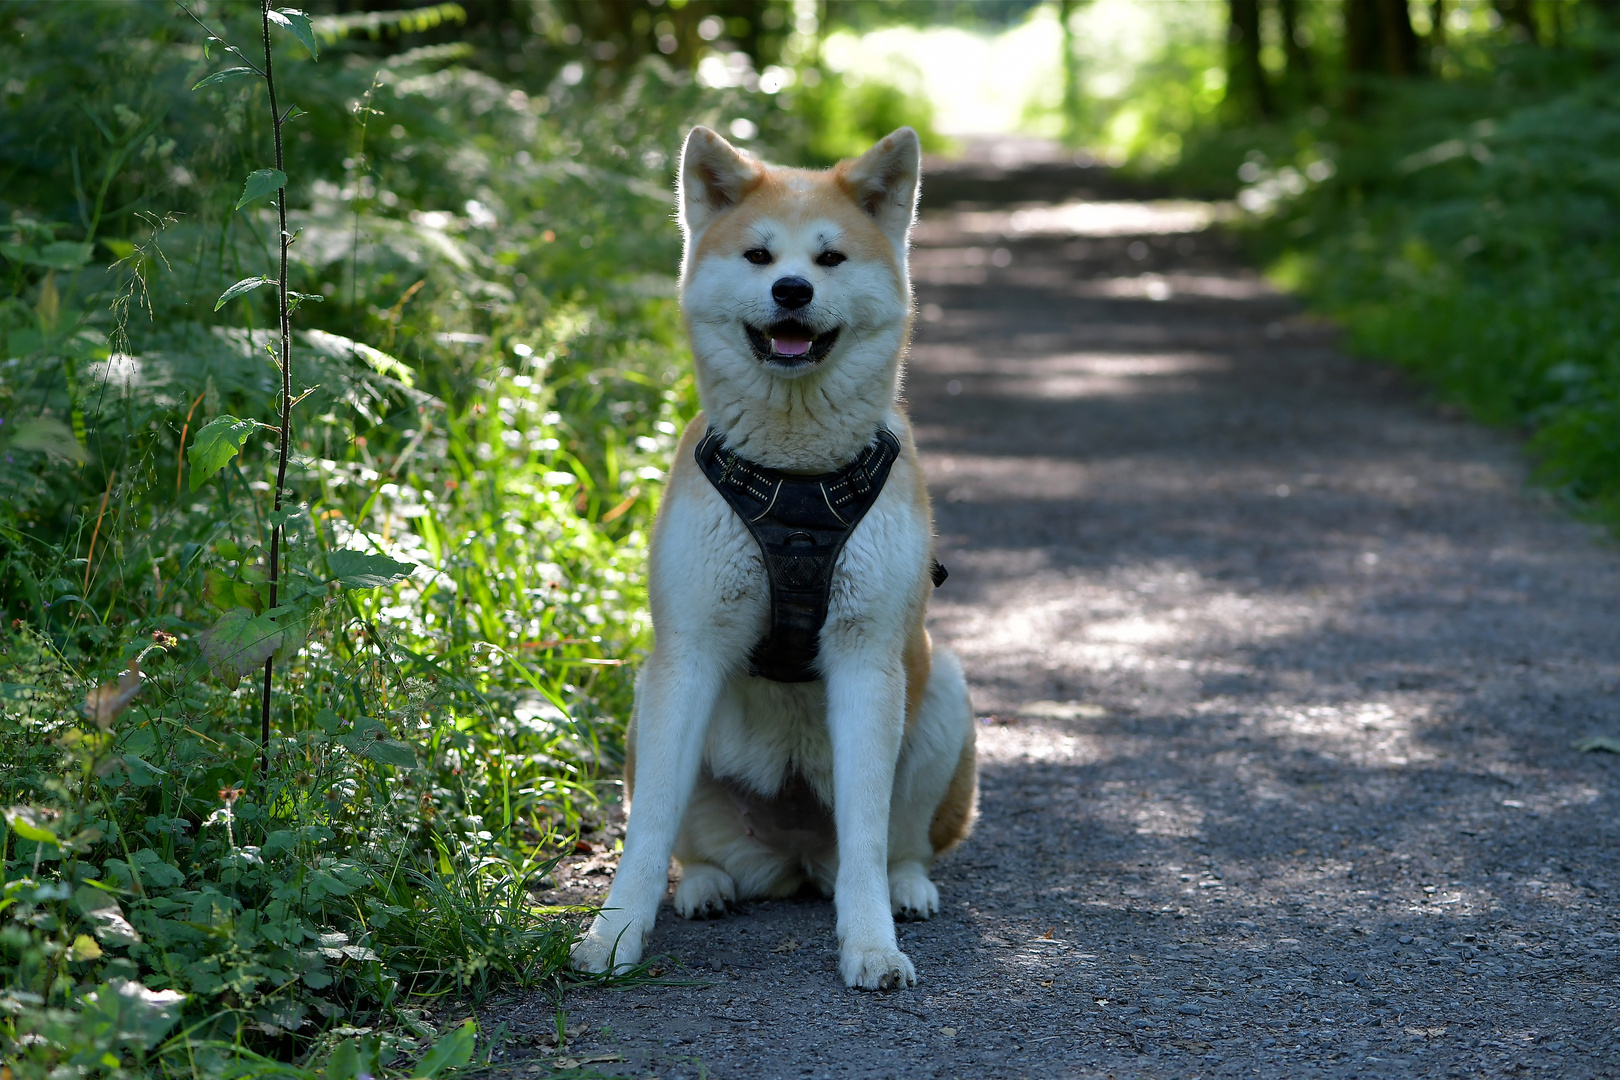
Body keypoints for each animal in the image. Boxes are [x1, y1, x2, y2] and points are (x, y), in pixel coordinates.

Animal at [570, 124, 972, 990]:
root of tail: (794, 859)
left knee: (898, 844)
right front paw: (614, 936)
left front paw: (871, 943)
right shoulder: (687, 654)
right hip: (646, 705)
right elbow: (648, 833)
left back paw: (906, 887)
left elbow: (865, 833)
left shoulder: (866, 658)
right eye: (759, 256)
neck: (797, 481)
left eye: (830, 259)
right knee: (694, 848)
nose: (791, 291)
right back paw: (708, 888)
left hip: (942, 692)